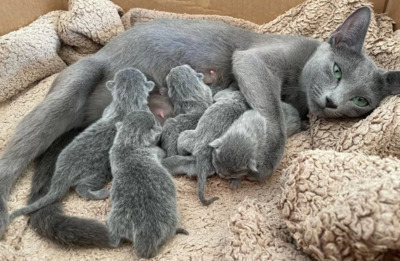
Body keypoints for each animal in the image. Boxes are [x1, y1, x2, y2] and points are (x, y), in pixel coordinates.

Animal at [10, 67, 155, 219]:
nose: (129, 68)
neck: (127, 102)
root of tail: (62, 175)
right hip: (98, 174)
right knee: (81, 188)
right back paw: (102, 193)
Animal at [107, 110, 187, 258]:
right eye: (154, 121)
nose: (149, 112)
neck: (129, 143)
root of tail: (146, 235)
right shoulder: (156, 151)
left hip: (114, 220)